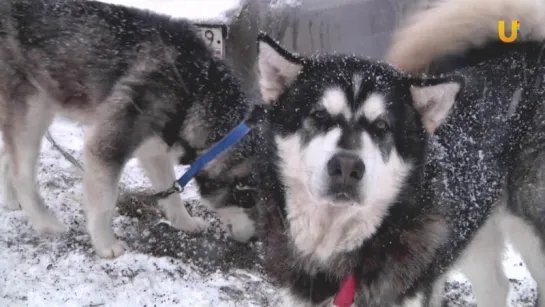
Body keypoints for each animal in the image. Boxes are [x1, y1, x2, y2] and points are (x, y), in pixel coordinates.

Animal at [0, 0, 258, 260]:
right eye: (248, 199)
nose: (254, 241)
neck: (195, 87)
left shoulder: (155, 148)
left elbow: (172, 192)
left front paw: (185, 222)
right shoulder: (107, 147)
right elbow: (104, 203)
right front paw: (106, 244)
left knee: (7, 157)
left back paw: (11, 201)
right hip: (33, 109)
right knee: (22, 174)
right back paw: (45, 222)